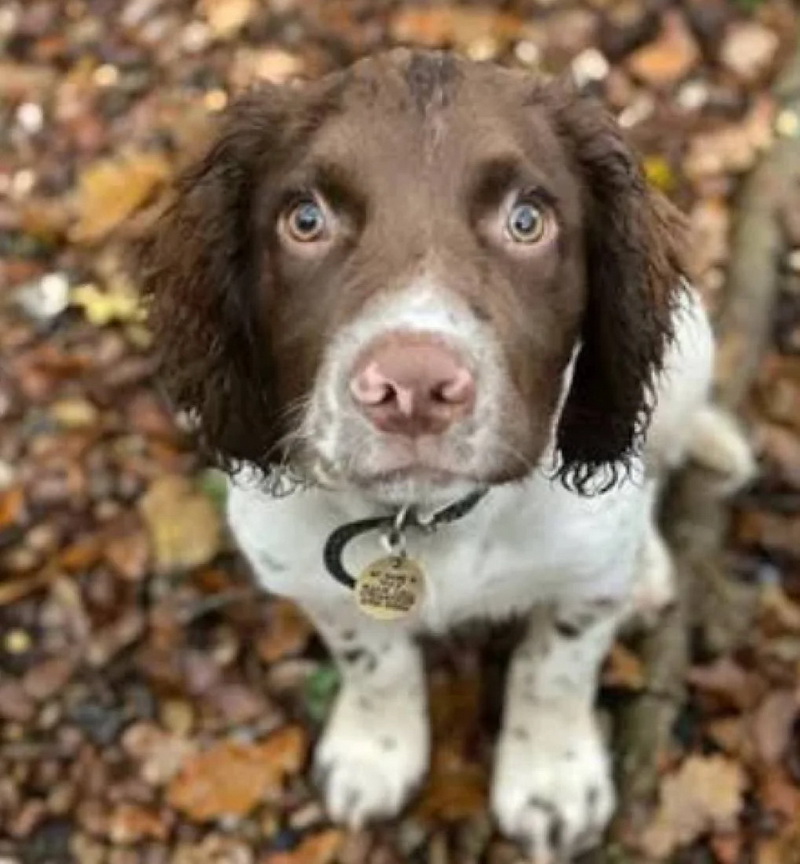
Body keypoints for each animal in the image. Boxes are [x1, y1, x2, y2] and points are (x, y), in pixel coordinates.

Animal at [139, 50, 756, 860]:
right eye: (305, 219)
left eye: (527, 220)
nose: (412, 389)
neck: (422, 517)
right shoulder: (304, 571)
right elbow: (371, 659)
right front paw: (374, 752)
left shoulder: (584, 582)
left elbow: (555, 666)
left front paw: (552, 780)